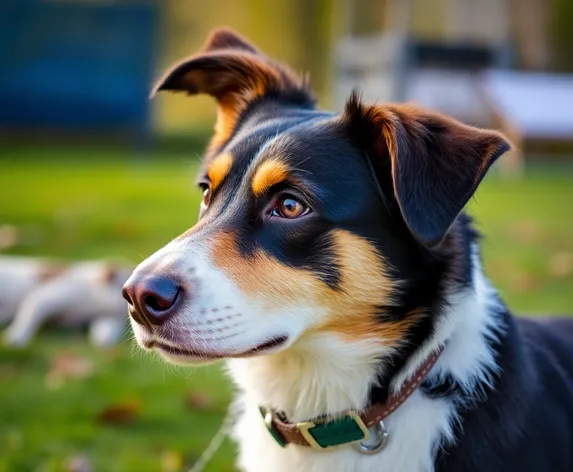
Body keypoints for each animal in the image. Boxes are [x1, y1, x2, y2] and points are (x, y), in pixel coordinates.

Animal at [0, 258, 130, 346]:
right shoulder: (48, 294)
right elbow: (31, 312)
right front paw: (16, 338)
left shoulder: (106, 317)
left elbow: (106, 327)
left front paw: (104, 340)